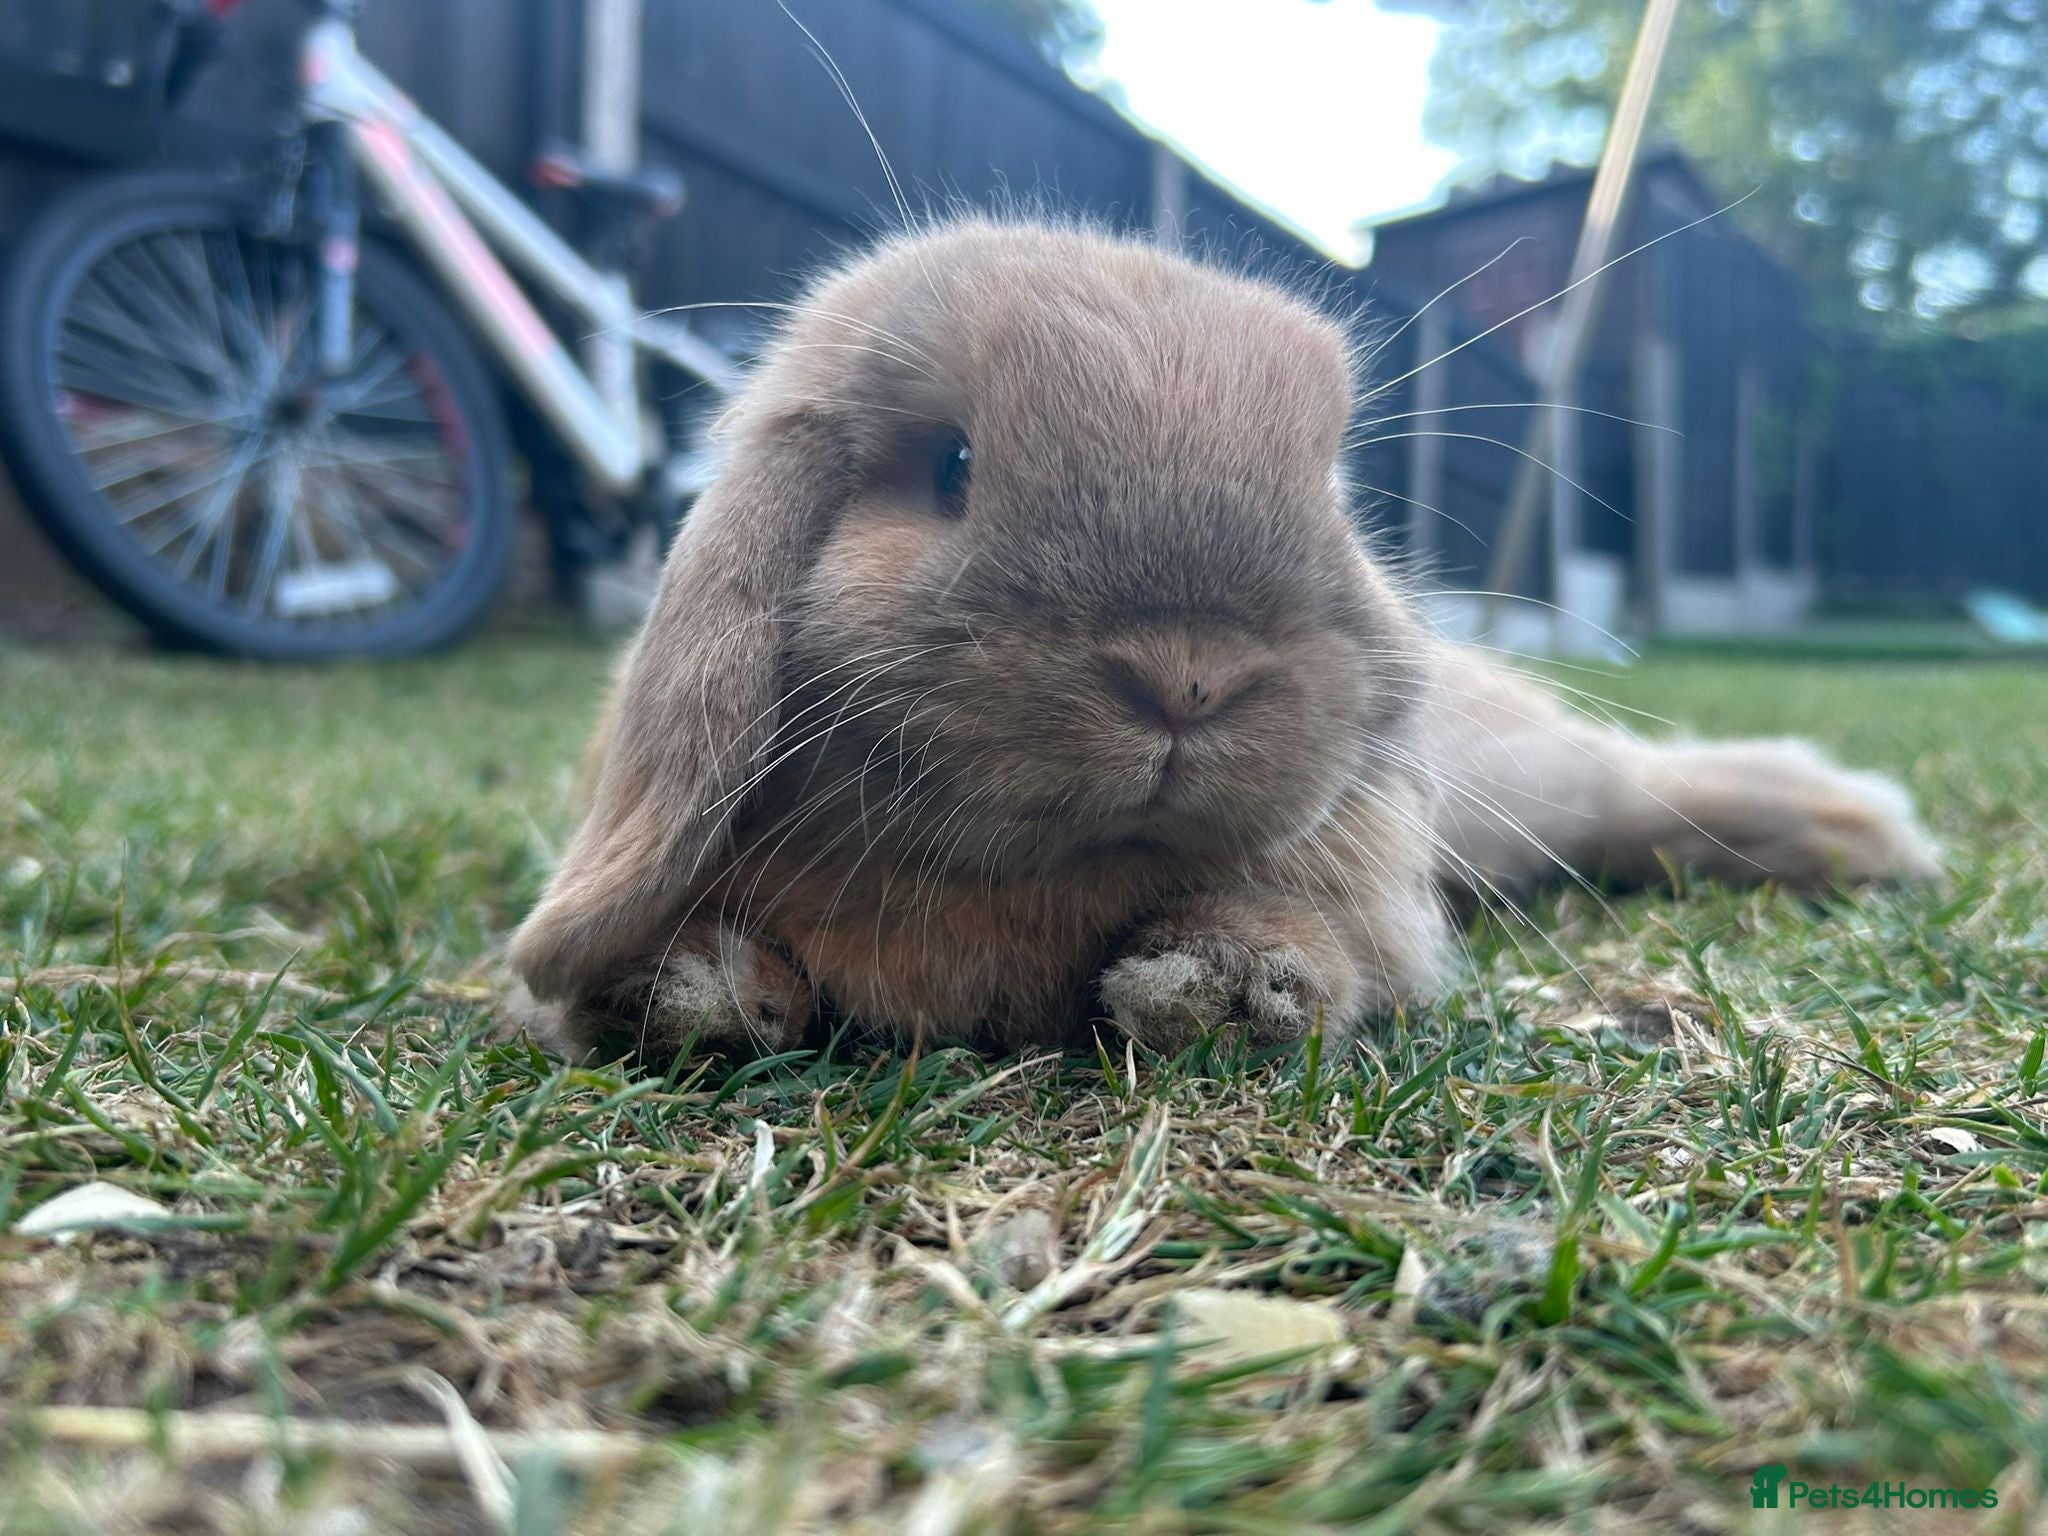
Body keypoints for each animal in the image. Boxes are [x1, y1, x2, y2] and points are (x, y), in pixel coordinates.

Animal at [508, 219, 1939, 1063]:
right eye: (949, 466)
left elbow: (1325, 948)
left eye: (1326, 485)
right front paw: (681, 989)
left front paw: (1222, 982)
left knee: (1638, 790)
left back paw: (1860, 835)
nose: (1186, 678)